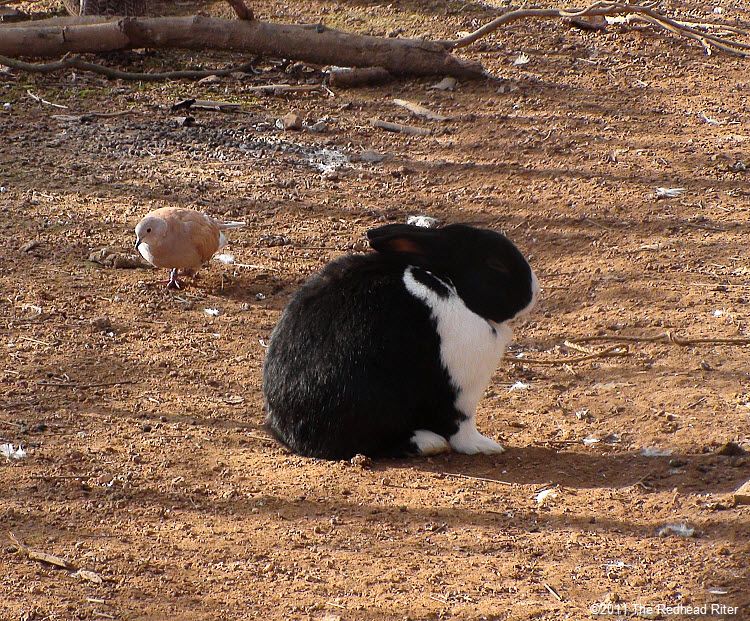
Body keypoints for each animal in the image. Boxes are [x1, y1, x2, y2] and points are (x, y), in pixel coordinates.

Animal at [262, 223, 536, 460]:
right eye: (496, 264)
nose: (535, 292)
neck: (452, 286)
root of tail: (291, 433)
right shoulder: (459, 393)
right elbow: (461, 429)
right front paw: (485, 446)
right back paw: (428, 442)